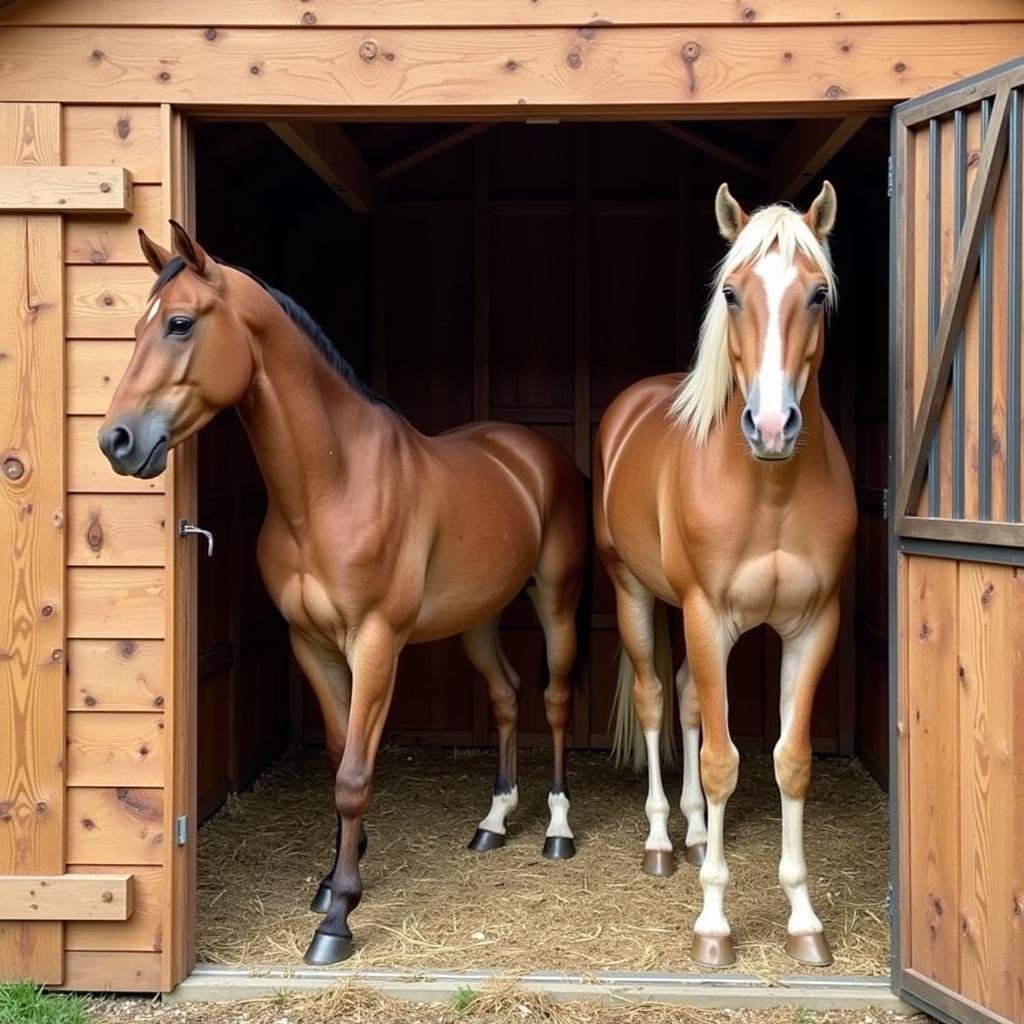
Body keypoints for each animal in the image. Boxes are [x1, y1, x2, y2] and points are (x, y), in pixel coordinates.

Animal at [101, 220, 593, 962]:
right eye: (134, 328)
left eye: (180, 323)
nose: (117, 441)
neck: (333, 485)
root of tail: (536, 455)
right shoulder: (311, 644)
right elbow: (337, 758)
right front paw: (332, 882)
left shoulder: (375, 645)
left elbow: (356, 776)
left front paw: (337, 920)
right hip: (477, 619)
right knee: (507, 696)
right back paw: (494, 821)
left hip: (554, 603)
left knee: (555, 702)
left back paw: (558, 831)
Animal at [598, 182, 851, 966]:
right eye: (732, 293)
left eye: (818, 293)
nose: (771, 427)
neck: (770, 492)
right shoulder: (707, 617)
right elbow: (720, 761)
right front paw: (713, 924)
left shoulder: (813, 626)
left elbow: (789, 760)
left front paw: (804, 921)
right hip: (635, 595)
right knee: (656, 701)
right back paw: (661, 839)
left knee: (684, 699)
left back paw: (696, 830)